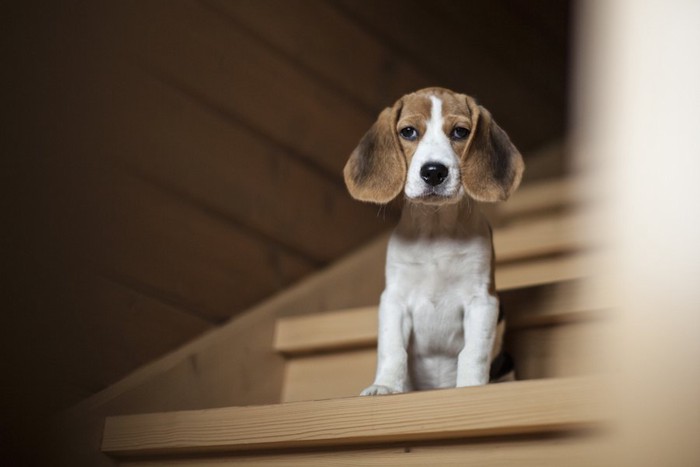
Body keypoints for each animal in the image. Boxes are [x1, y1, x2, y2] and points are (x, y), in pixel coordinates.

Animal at [342, 88, 524, 394]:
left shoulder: (482, 300)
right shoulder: (394, 300)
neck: (436, 229)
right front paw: (385, 386)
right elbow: (392, 349)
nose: (434, 172)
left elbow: (473, 353)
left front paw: (471, 387)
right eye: (408, 132)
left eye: (461, 132)